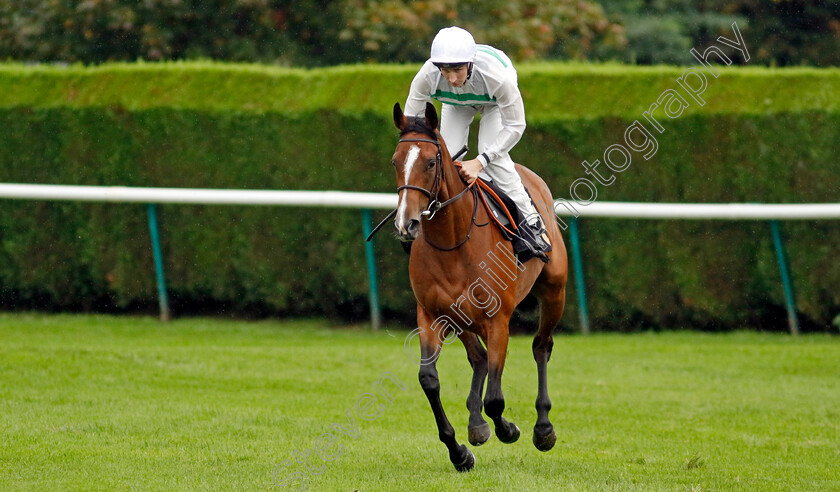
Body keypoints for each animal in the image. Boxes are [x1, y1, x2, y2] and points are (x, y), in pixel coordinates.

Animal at [390, 101, 568, 472]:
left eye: (430, 162)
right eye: (395, 162)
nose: (405, 223)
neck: (453, 240)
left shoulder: (497, 321)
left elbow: (496, 399)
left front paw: (509, 429)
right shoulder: (430, 316)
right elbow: (429, 380)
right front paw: (459, 451)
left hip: (554, 291)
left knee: (541, 347)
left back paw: (543, 427)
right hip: (460, 318)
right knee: (479, 357)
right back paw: (476, 425)